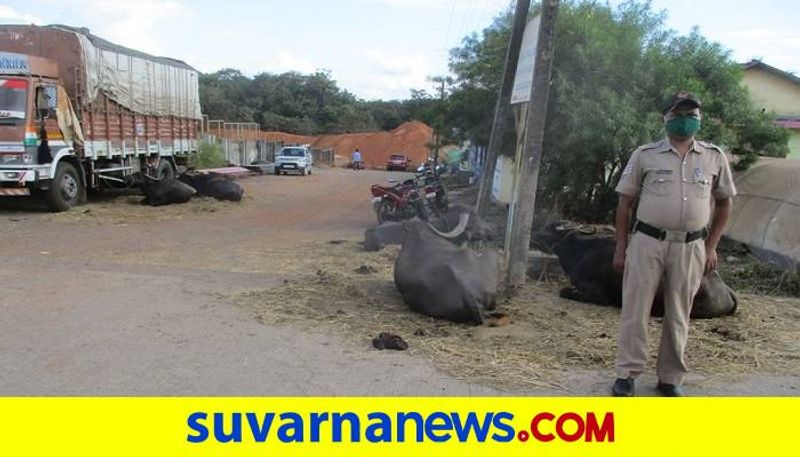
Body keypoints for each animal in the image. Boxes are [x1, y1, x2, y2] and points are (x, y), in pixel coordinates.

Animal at [532, 221, 736, 318]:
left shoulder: (597, 293)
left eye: (551, 230)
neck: (581, 250)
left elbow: (565, 291)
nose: (534, 234)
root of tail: (725, 288)